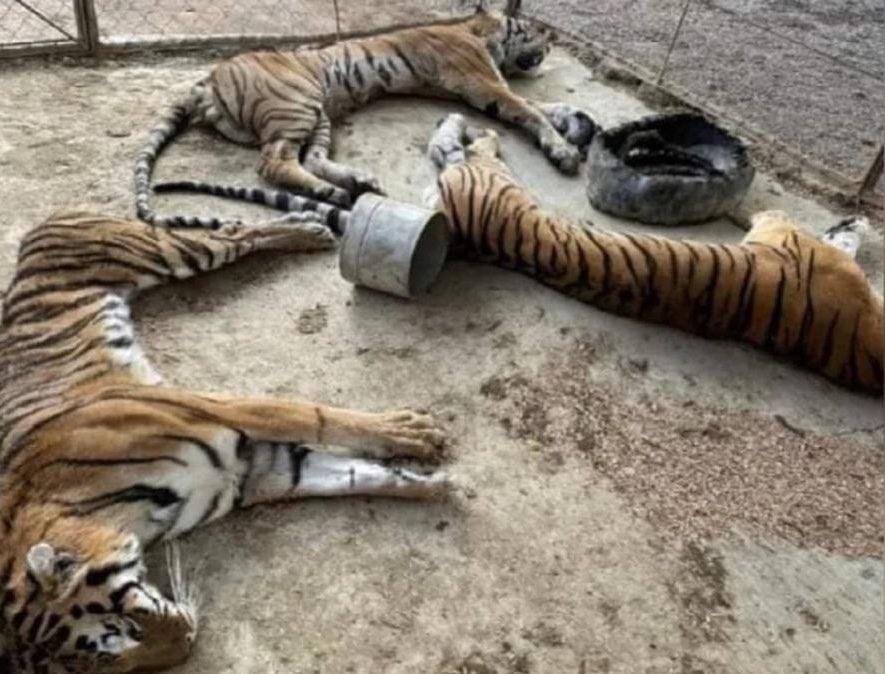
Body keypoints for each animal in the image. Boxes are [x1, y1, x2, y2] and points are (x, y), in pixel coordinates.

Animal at [0, 210, 449, 672]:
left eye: (123, 628)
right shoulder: (252, 474)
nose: (186, 645)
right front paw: (431, 484)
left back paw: (308, 229)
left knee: (231, 234)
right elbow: (350, 475)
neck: (122, 516)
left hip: (165, 253)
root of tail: (48, 221)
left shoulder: (213, 410)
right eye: (111, 664)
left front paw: (410, 432)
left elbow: (315, 416)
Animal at [133, 8, 598, 230]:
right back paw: (337, 192)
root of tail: (208, 79)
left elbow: (535, 104)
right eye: (531, 30)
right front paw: (563, 150)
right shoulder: (483, 82)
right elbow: (529, 109)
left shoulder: (482, 86)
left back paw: (352, 184)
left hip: (318, 113)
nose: (551, 43)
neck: (480, 35)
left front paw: (575, 118)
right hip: (297, 104)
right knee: (273, 163)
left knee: (309, 159)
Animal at [424, 113, 883, 394]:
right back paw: (462, 123)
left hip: (487, 178)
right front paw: (856, 222)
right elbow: (778, 214)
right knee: (476, 144)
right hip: (492, 176)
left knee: (468, 149)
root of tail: (459, 229)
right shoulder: (781, 228)